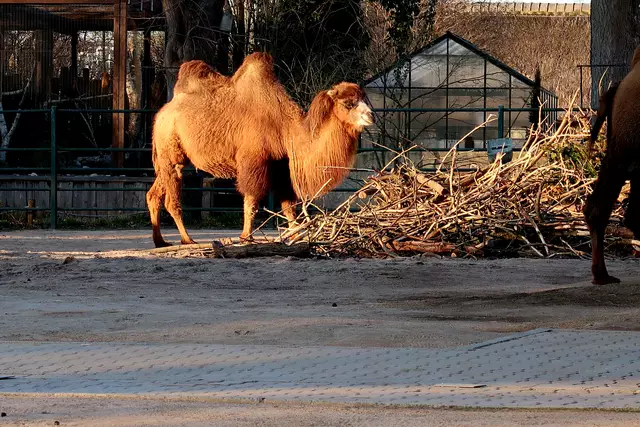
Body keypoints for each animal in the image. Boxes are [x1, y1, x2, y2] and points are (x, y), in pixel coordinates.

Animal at [146, 52, 373, 247]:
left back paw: (160, 241)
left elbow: (288, 205)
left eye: (365, 99)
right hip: (170, 152)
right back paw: (187, 239)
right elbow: (251, 202)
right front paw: (246, 237)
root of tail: (160, 114)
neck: (284, 127)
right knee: (171, 200)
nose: (370, 115)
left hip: (170, 159)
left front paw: (296, 234)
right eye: (348, 103)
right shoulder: (253, 161)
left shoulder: (281, 165)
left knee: (153, 194)